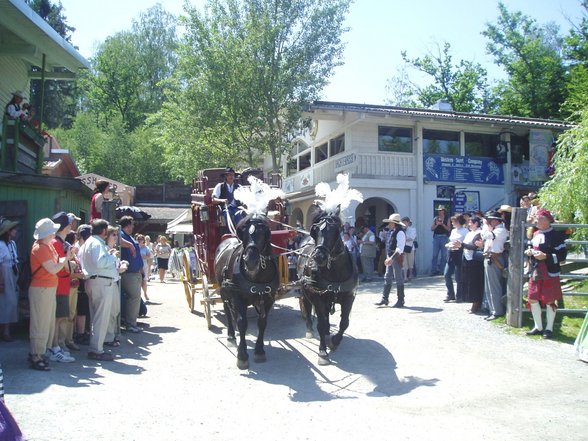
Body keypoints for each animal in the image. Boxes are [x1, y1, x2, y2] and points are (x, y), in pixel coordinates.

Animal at [215, 212, 282, 368]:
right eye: (244, 231)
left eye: (263, 232)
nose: (250, 261)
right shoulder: (237, 296)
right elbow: (242, 323)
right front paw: (242, 355)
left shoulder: (268, 299)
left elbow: (262, 322)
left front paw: (259, 351)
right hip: (224, 291)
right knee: (228, 311)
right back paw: (231, 336)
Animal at [298, 205, 358, 362]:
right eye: (315, 230)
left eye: (335, 229)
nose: (319, 256)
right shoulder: (317, 297)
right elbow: (320, 323)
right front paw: (322, 351)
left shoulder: (349, 297)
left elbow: (344, 323)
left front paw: (334, 341)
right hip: (306, 292)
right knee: (308, 309)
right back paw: (309, 329)